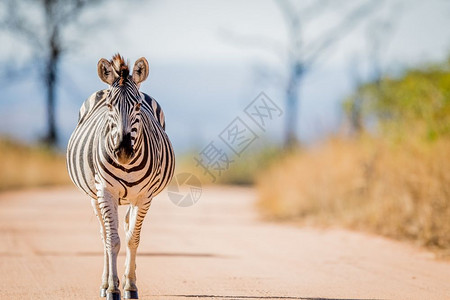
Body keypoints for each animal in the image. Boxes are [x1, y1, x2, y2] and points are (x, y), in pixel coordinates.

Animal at [67, 54, 176, 300]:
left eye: (137, 106)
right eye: (110, 106)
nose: (124, 151)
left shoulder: (144, 197)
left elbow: (132, 239)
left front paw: (130, 286)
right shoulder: (105, 192)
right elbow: (112, 240)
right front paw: (112, 288)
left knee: (125, 228)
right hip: (95, 197)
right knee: (105, 235)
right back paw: (105, 283)